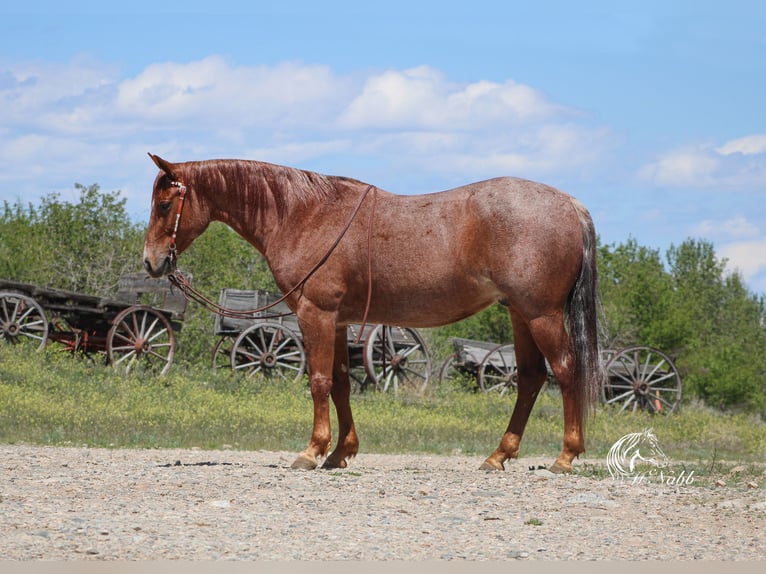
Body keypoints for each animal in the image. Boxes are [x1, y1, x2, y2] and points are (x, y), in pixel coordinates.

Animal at [141, 153, 604, 472]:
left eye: (164, 205)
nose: (151, 262)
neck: (303, 214)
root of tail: (570, 204)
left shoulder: (315, 314)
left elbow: (319, 382)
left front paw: (312, 451)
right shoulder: (339, 322)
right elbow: (342, 385)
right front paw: (340, 453)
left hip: (541, 314)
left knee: (565, 370)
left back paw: (565, 456)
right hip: (520, 315)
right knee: (531, 379)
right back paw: (498, 456)